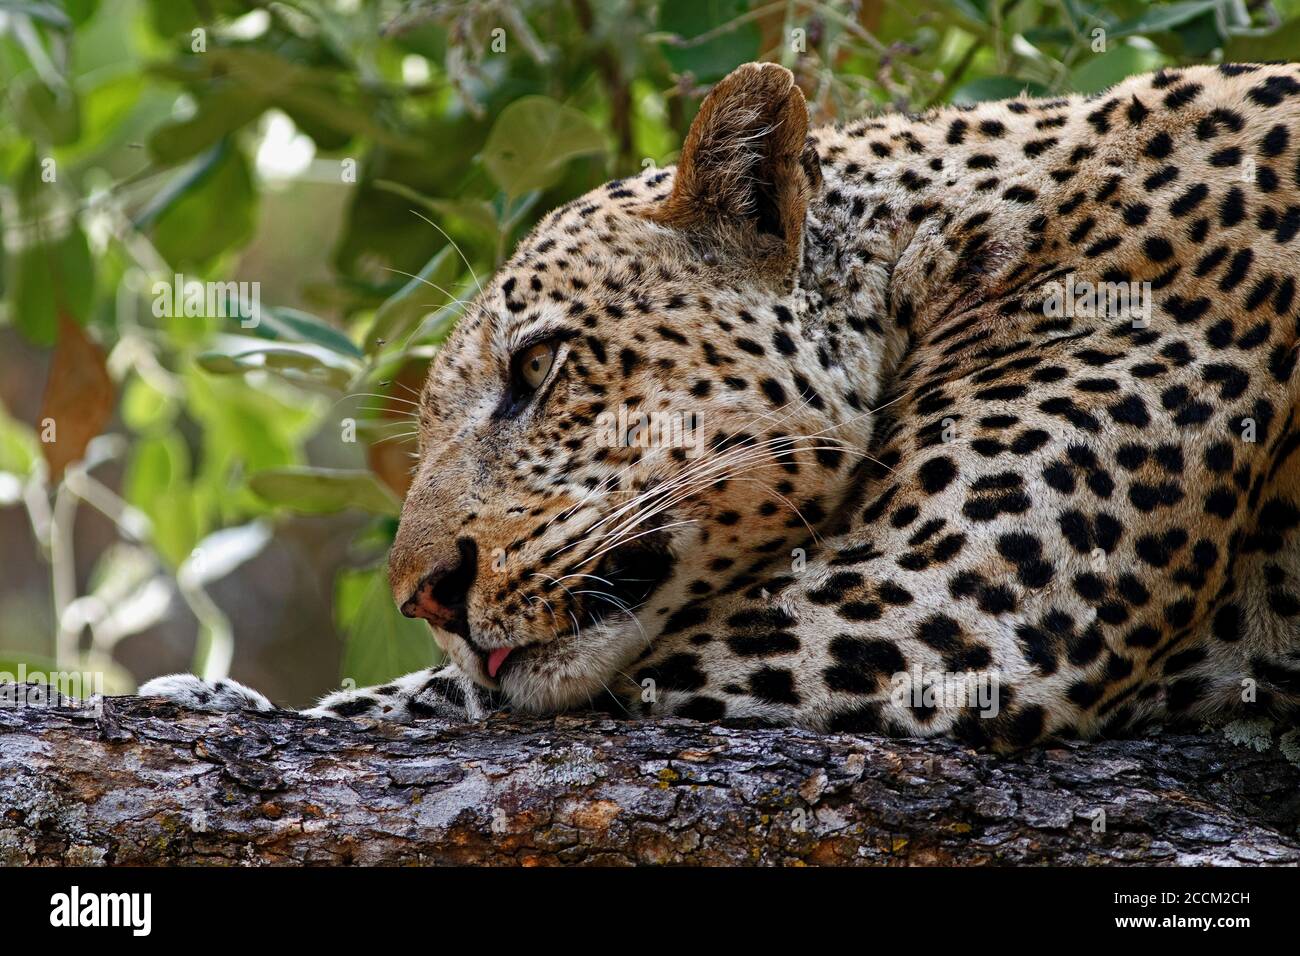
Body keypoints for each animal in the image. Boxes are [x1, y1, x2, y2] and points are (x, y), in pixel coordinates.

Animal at [143, 60, 1300, 749]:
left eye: (537, 368)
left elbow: (434, 700)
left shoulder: (942, 609)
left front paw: (205, 696)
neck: (941, 251)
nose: (424, 598)